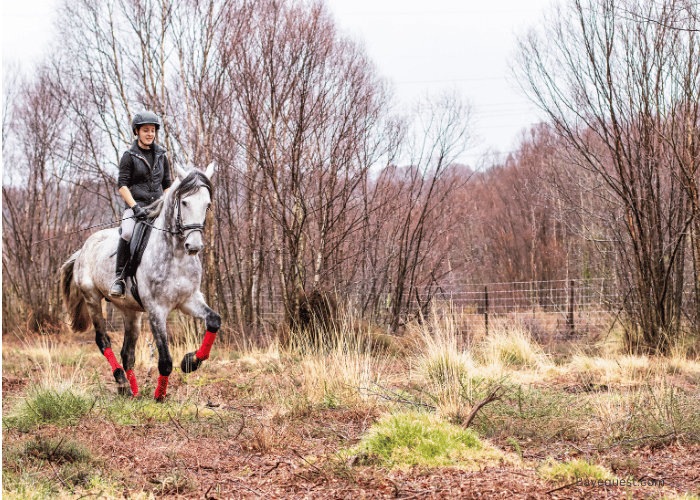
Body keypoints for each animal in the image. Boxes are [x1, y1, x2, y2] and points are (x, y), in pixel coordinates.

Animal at [59, 162, 220, 400]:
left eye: (207, 205)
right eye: (184, 202)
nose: (194, 246)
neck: (176, 256)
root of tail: (83, 249)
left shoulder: (189, 300)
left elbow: (214, 321)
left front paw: (190, 362)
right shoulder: (156, 310)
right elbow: (165, 360)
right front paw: (159, 397)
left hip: (131, 312)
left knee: (128, 353)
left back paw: (132, 392)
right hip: (92, 299)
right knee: (103, 341)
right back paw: (121, 382)